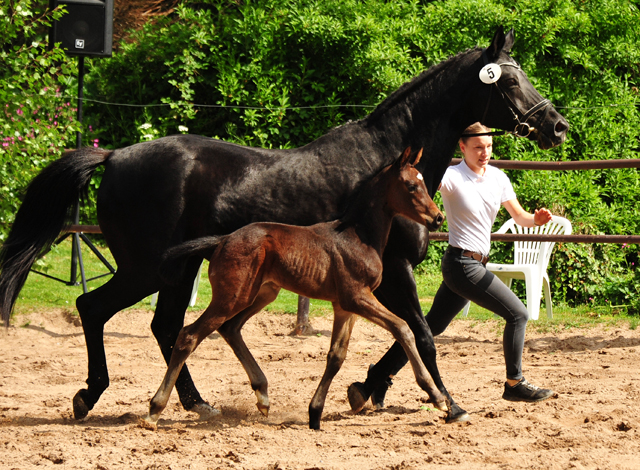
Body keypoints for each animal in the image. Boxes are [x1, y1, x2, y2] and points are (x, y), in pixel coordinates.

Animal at [145, 148, 444, 430]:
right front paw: (436, 396)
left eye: (423, 183)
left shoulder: (344, 306)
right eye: (411, 185)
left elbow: (336, 356)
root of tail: (222, 240)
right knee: (188, 335)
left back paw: (263, 397)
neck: (358, 236)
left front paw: (315, 414)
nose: (438, 218)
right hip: (231, 297)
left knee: (230, 328)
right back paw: (155, 410)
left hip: (262, 293)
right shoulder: (357, 297)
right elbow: (403, 327)